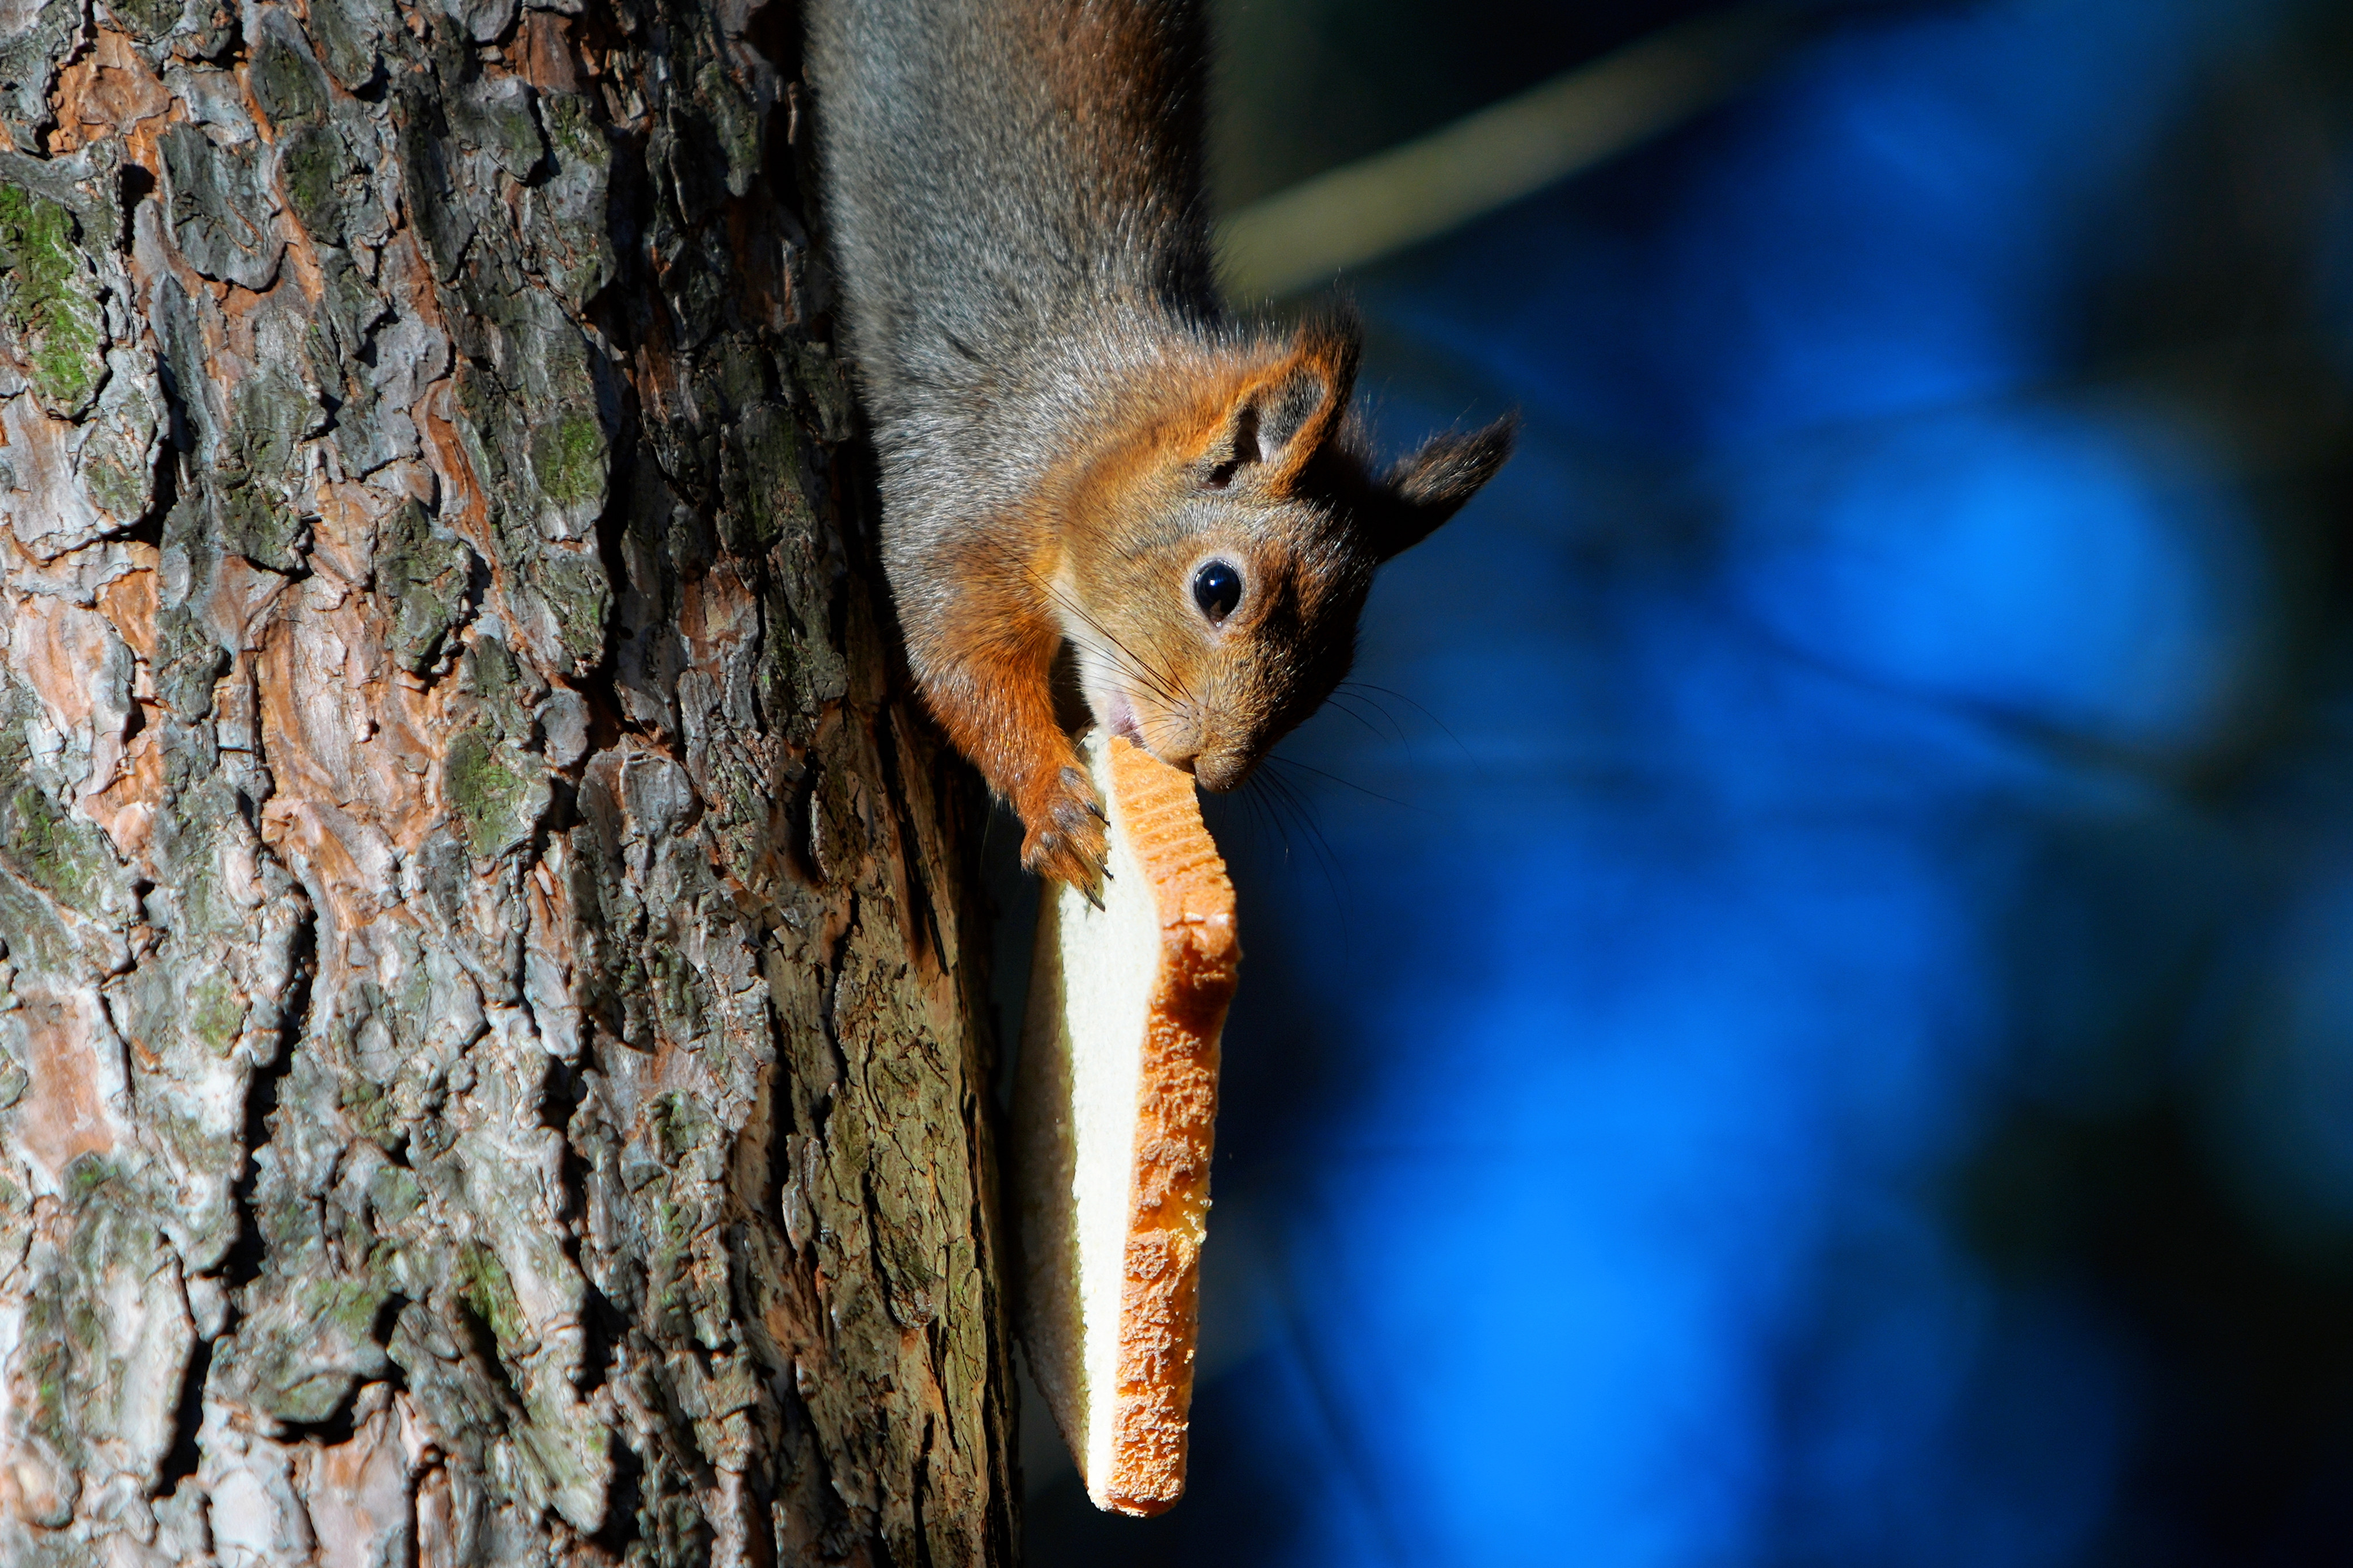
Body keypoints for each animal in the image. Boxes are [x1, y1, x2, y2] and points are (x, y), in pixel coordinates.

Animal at [805, 0, 1506, 893]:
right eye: (1217, 587)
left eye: (1338, 667)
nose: (1212, 771)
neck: (1091, 440)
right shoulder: (963, 494)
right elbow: (959, 666)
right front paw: (1051, 803)